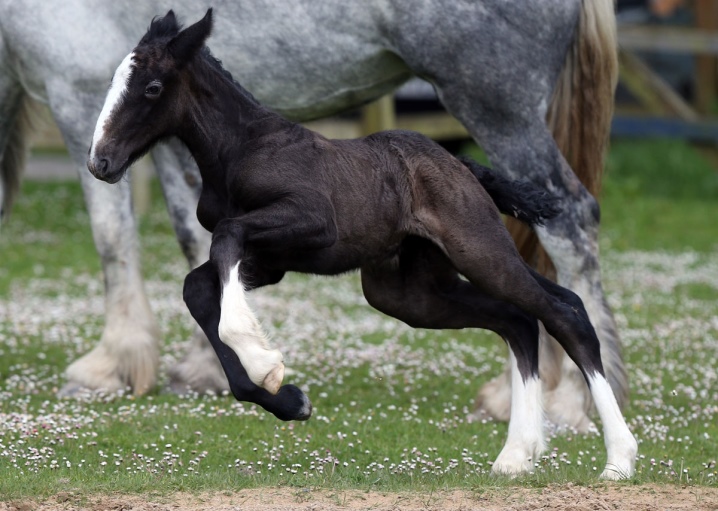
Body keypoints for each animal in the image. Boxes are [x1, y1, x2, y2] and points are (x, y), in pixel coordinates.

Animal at [0, 0, 624, 432]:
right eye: (114, 81)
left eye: (152, 86)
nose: (100, 161)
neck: (244, 145)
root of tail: (460, 163)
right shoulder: (270, 260)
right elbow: (199, 281)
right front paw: (276, 392)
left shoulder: (310, 224)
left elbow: (207, 244)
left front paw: (242, 354)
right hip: (409, 293)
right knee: (519, 315)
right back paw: (524, 428)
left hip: (488, 181)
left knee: (563, 283)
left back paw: (585, 419)